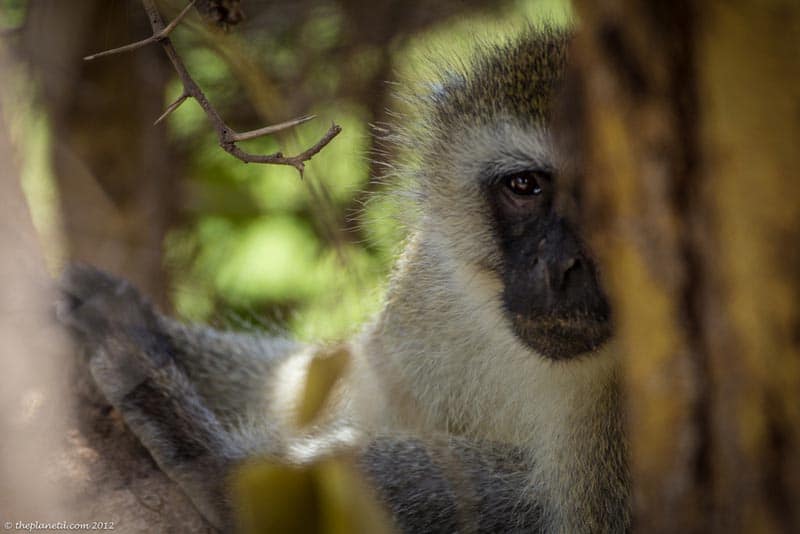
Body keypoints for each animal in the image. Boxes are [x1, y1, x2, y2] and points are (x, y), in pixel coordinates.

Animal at [59, 28, 628, 532]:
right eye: (525, 186)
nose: (559, 267)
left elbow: (560, 518)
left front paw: (225, 471)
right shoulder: (428, 285)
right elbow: (338, 385)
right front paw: (138, 329)